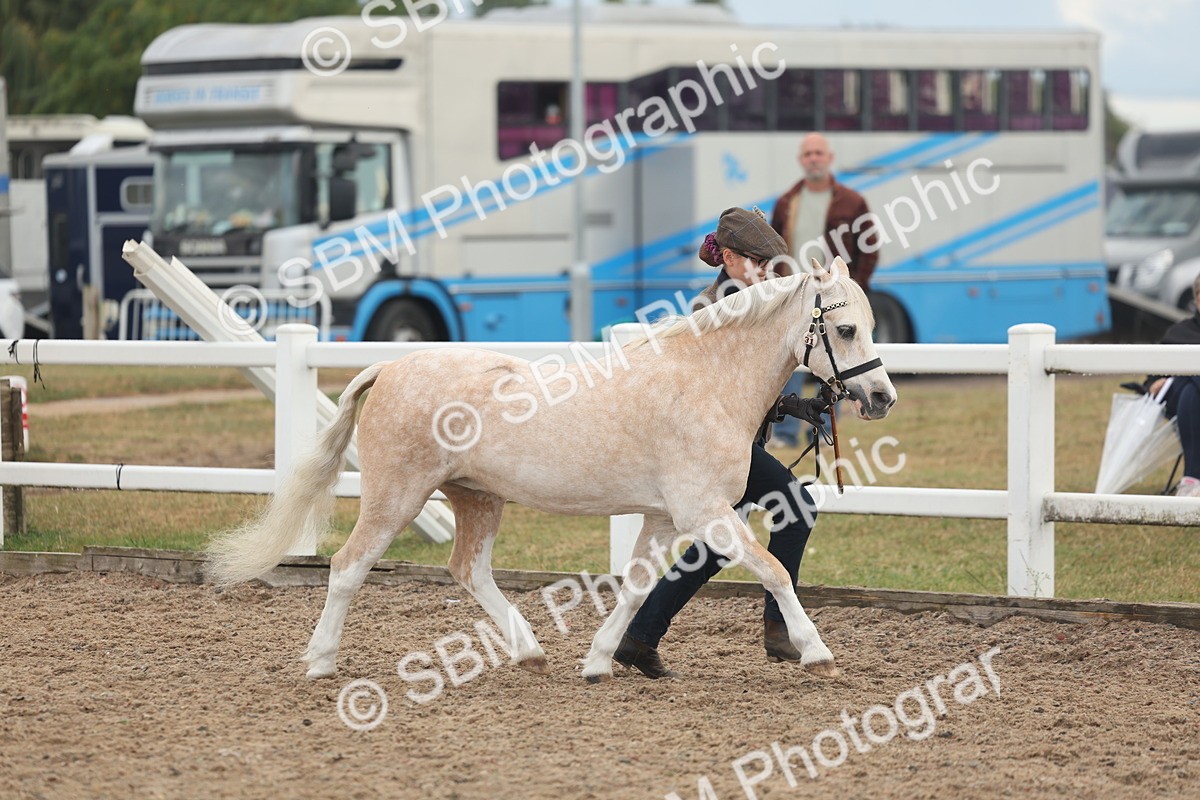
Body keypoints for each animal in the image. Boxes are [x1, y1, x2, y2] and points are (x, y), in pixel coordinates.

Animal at [207, 256, 897, 682]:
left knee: (469, 570)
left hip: (476, 498)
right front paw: (817, 654)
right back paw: (321, 661)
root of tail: (390, 367)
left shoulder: (663, 518)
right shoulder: (706, 513)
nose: (882, 396)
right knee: (349, 566)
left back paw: (531, 652)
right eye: (844, 328)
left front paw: (598, 662)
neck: (703, 382)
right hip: (396, 496)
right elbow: (775, 572)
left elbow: (638, 587)